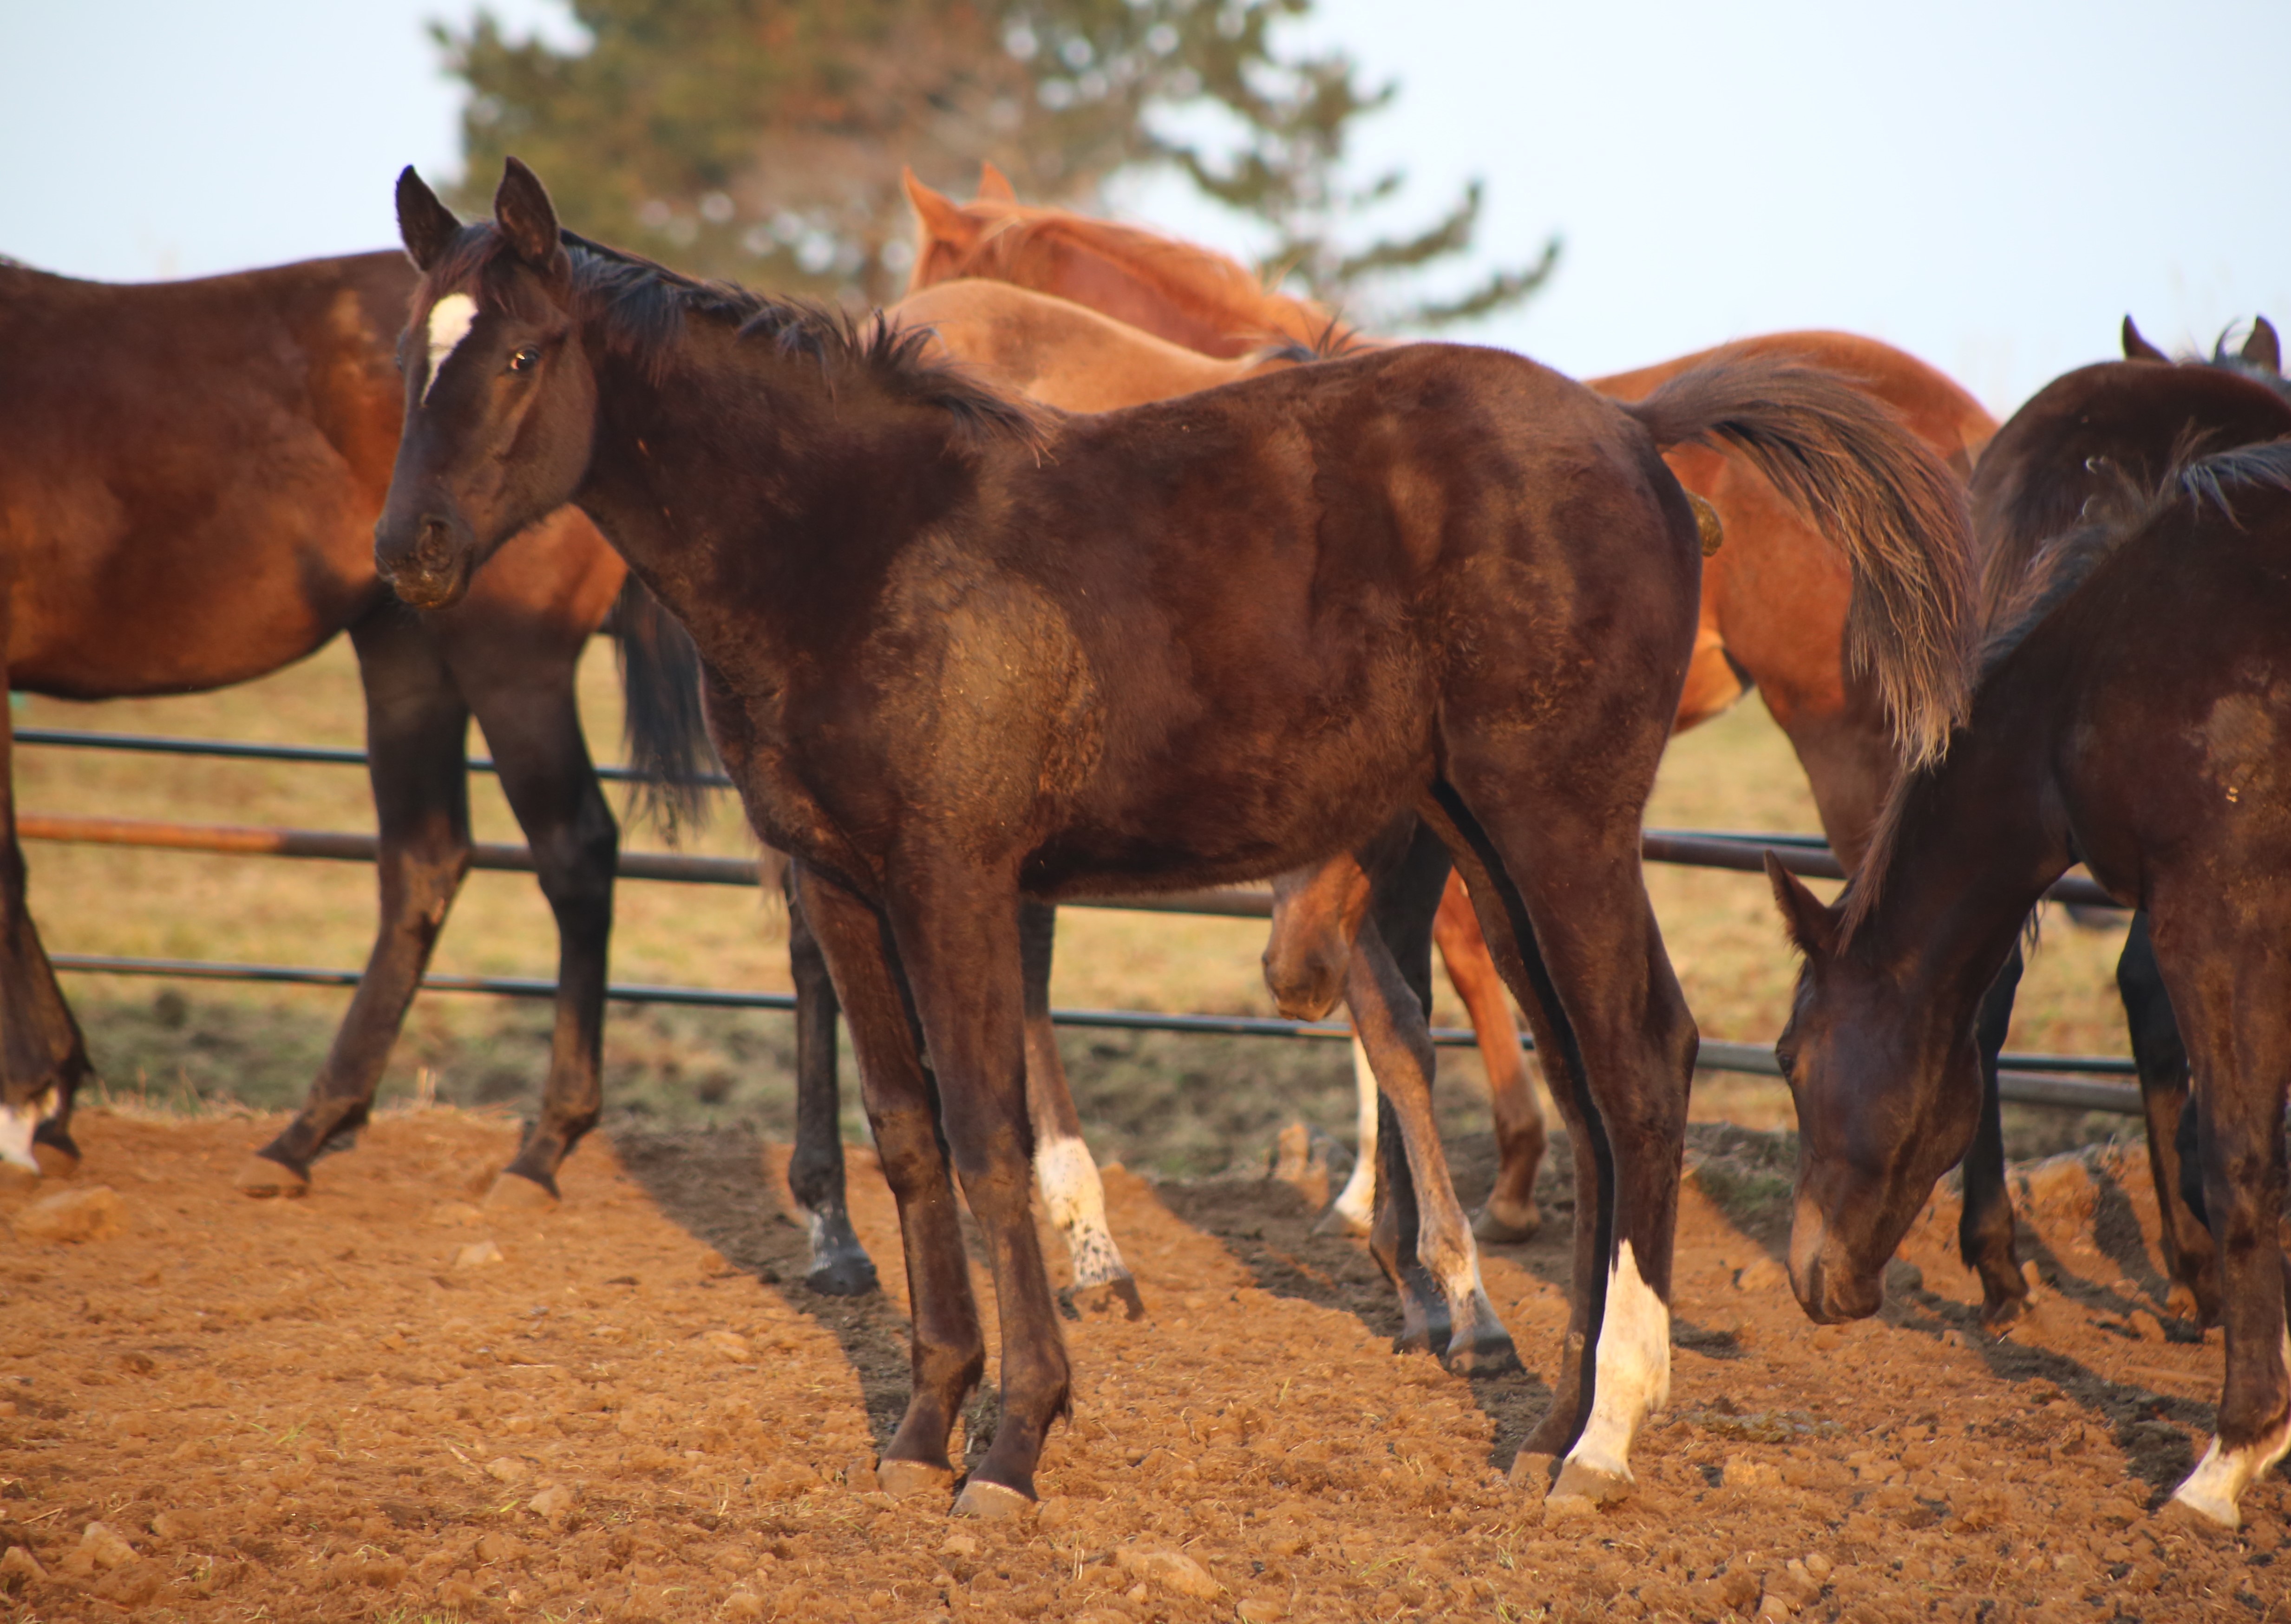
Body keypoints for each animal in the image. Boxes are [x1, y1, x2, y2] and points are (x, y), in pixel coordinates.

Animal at [0, 249, 710, 1191]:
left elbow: (6, 870)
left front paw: (38, 1095)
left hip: (507, 659)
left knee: (573, 849)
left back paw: (545, 1142)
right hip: (403, 646)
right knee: (425, 858)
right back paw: (312, 1126)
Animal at [375, 161, 1970, 1512]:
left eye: (521, 356)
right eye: (406, 359)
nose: (410, 553)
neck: (856, 541)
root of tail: (1641, 432)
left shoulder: (954, 875)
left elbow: (986, 1132)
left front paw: (1014, 1439)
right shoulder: (839, 881)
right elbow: (907, 1135)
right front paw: (922, 1422)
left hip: (1561, 818)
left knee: (1643, 1059)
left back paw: (1605, 1434)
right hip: (1487, 834)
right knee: (1586, 1080)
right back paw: (1549, 1418)